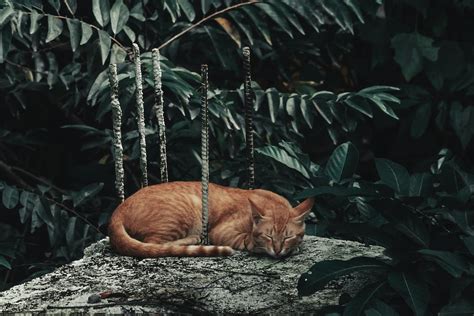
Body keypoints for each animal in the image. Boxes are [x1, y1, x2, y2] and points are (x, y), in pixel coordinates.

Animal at [108, 181, 314, 258]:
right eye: (269, 236)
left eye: (288, 236)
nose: (278, 251)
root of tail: (117, 211)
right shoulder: (224, 233)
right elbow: (249, 242)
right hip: (187, 211)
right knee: (155, 245)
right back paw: (195, 240)